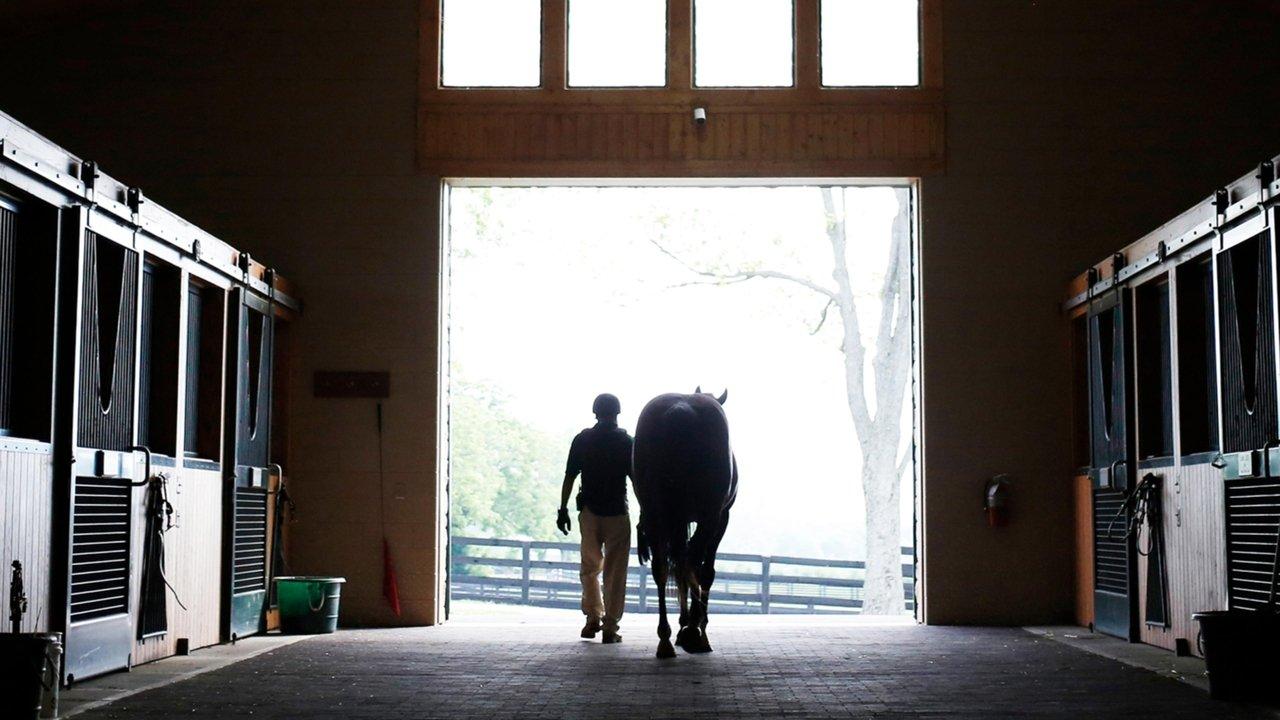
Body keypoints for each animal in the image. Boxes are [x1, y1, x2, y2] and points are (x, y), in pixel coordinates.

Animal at [632, 388, 738, 658]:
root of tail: (679, 411)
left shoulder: (678, 520)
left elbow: (678, 567)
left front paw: (682, 626)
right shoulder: (721, 518)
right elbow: (705, 571)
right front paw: (695, 627)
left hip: (655, 514)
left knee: (662, 567)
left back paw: (666, 638)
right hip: (709, 517)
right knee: (692, 562)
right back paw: (693, 632)